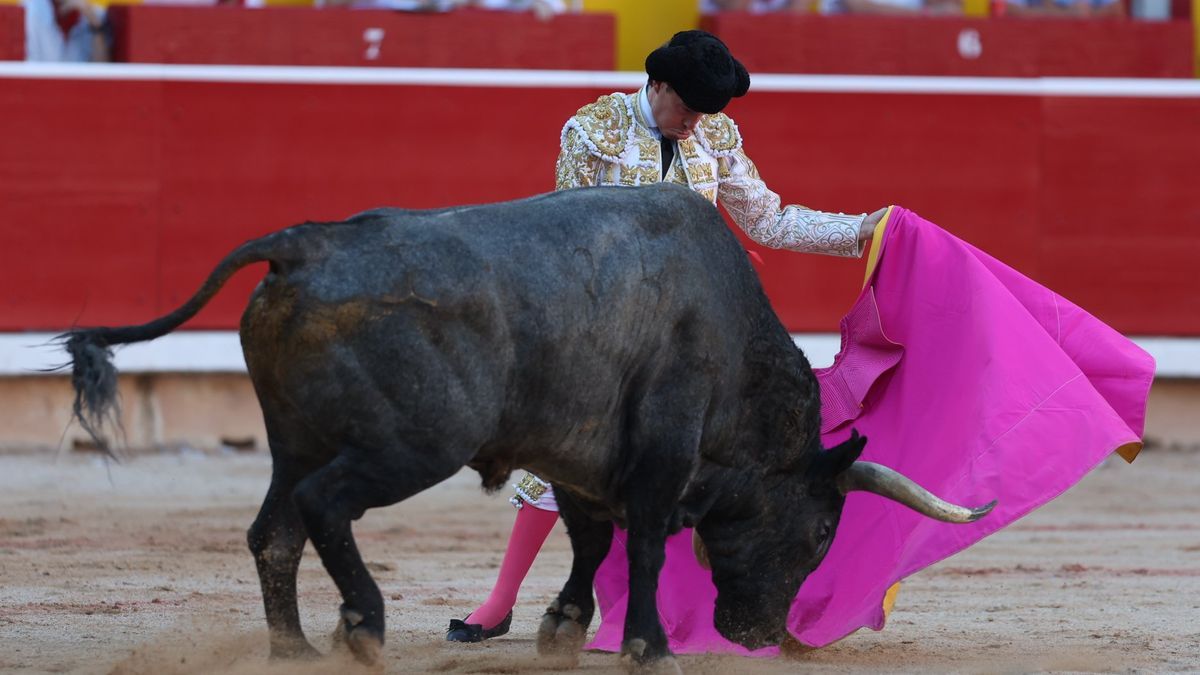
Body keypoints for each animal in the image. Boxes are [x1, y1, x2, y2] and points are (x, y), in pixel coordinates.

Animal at [60, 182, 988, 667]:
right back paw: (362, 625)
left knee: (274, 531)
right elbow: (643, 543)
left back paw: (293, 650)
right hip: (412, 443)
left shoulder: (581, 456)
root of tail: (305, 245)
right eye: (822, 528)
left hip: (293, 440)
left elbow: (590, 538)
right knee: (325, 507)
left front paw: (564, 627)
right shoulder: (663, 446)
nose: (765, 635)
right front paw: (650, 642)